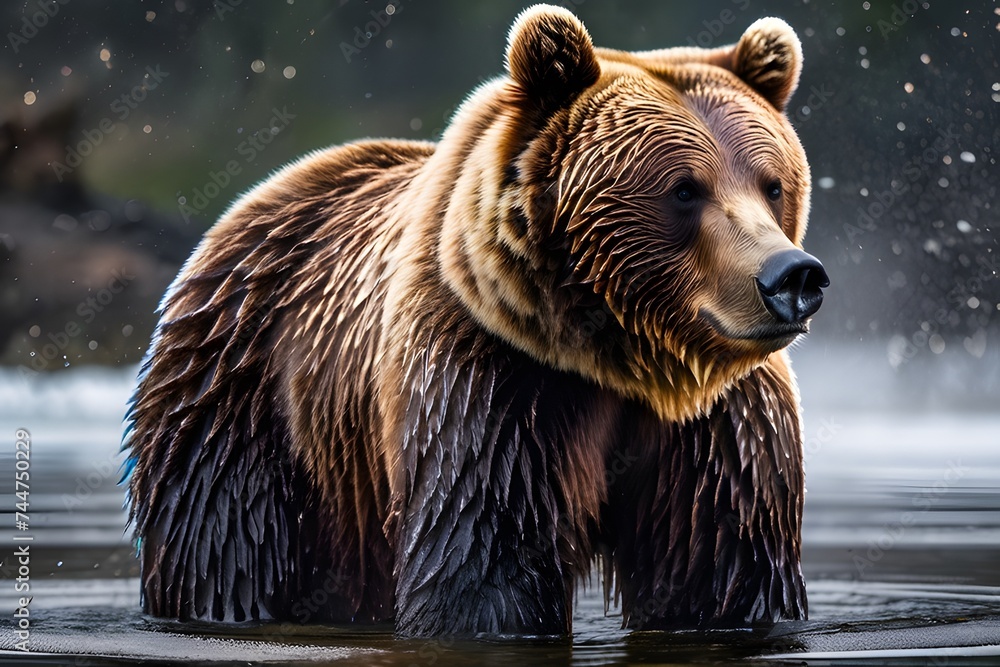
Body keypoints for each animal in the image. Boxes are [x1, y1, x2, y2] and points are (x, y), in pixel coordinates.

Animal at [124, 4, 828, 637]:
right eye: (684, 188)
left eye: (771, 184)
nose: (792, 278)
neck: (620, 357)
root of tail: (255, 200)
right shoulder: (491, 382)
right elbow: (485, 558)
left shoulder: (722, 428)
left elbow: (720, 566)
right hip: (242, 407)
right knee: (226, 549)